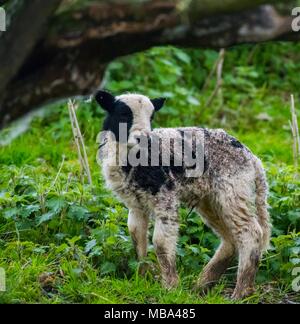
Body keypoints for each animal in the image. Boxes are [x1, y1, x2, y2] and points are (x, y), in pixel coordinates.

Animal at [95, 90, 270, 300]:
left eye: (151, 117)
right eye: (123, 114)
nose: (144, 138)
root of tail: (253, 158)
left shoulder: (166, 196)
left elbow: (161, 243)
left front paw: (170, 287)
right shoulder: (135, 203)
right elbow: (137, 237)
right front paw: (142, 279)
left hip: (234, 190)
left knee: (250, 233)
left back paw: (241, 292)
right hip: (211, 200)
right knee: (230, 240)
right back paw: (202, 285)